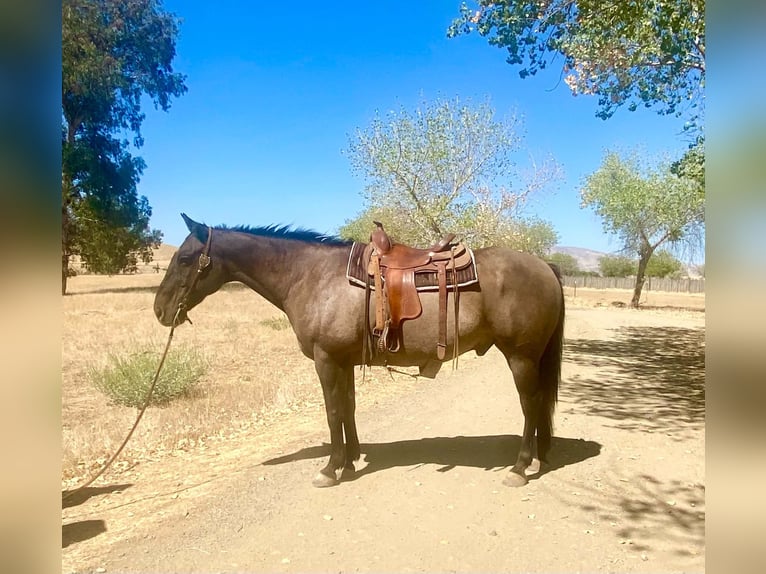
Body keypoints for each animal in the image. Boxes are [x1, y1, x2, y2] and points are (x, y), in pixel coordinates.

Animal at [153, 214, 565, 488]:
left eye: (185, 259)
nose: (159, 310)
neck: (311, 276)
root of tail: (545, 265)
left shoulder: (326, 359)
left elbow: (332, 411)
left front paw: (329, 468)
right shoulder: (344, 361)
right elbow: (348, 408)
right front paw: (349, 461)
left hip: (521, 357)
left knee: (530, 404)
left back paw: (519, 468)